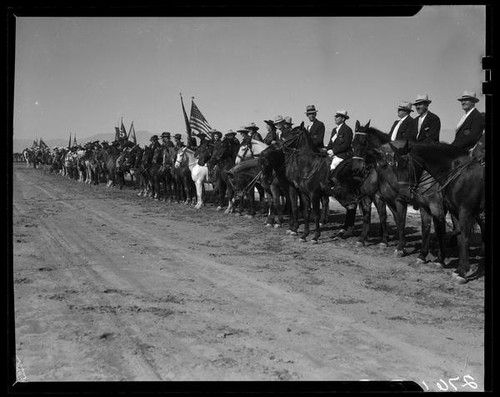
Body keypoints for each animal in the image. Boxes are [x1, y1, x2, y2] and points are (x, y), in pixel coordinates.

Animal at [394, 141, 484, 284]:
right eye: (394, 166)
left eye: (406, 165)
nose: (402, 195)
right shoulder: (431, 208)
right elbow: (427, 228)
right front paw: (423, 256)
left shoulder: (460, 211)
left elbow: (457, 236)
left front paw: (460, 272)